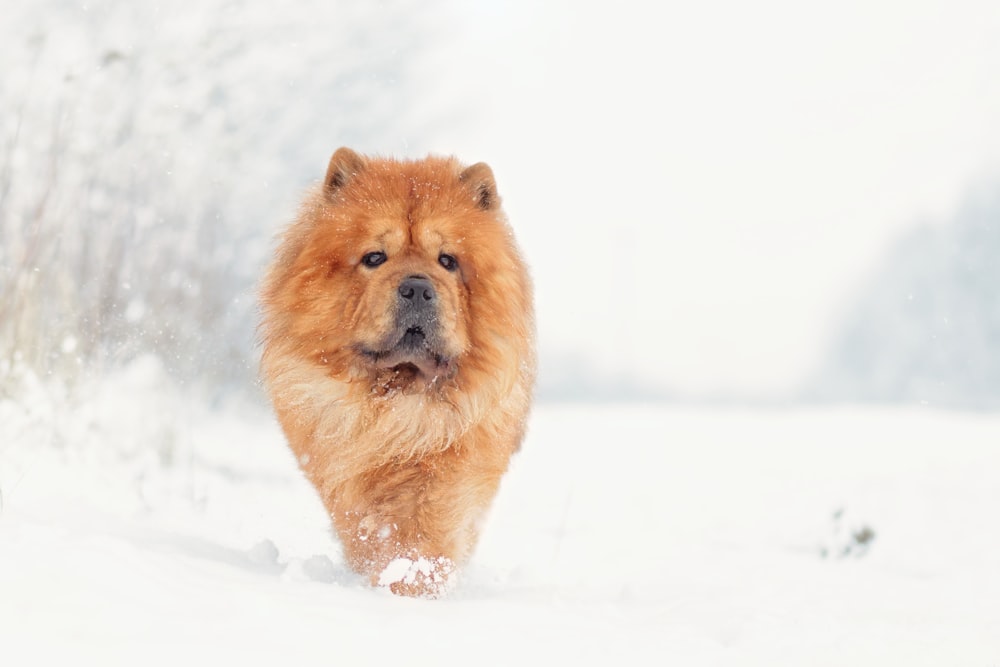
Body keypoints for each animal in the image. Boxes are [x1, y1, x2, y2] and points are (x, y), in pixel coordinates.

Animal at [262, 149, 536, 596]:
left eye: (448, 261)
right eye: (374, 258)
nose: (418, 287)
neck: (397, 406)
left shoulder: (447, 466)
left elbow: (425, 529)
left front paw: (410, 586)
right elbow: (365, 525)